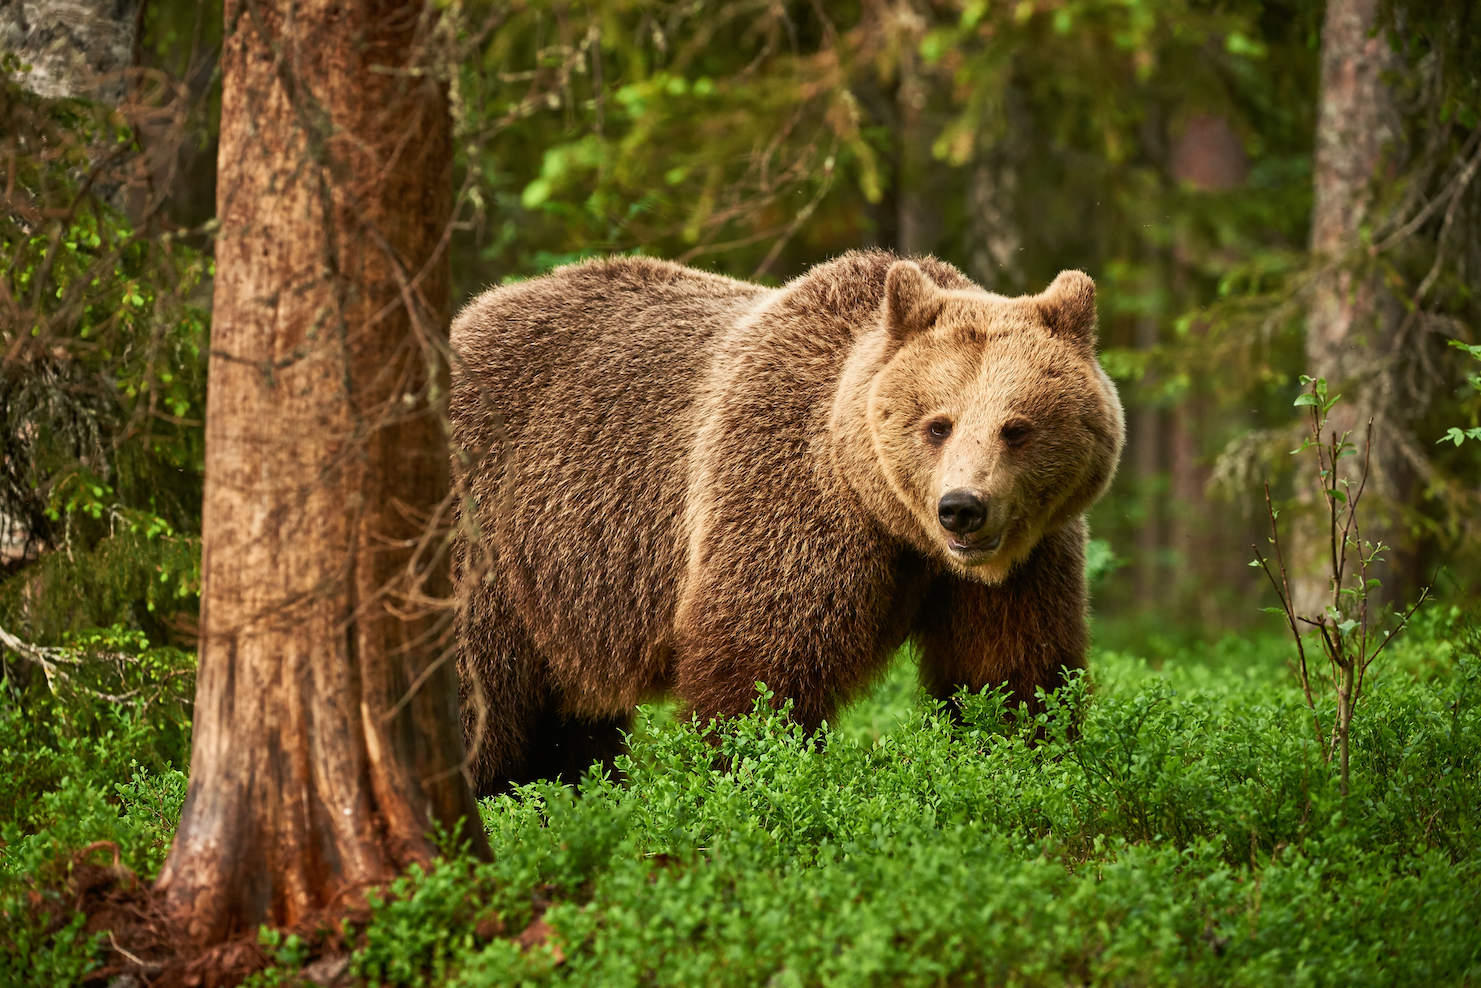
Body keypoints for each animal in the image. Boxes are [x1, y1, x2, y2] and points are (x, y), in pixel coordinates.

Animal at [449, 250, 1124, 796]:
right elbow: (761, 671)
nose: (962, 506)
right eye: (938, 423)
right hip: (489, 532)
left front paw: (1021, 759)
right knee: (479, 697)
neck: (892, 520)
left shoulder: (1026, 561)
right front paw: (746, 773)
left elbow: (1009, 672)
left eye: (1017, 427)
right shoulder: (785, 496)